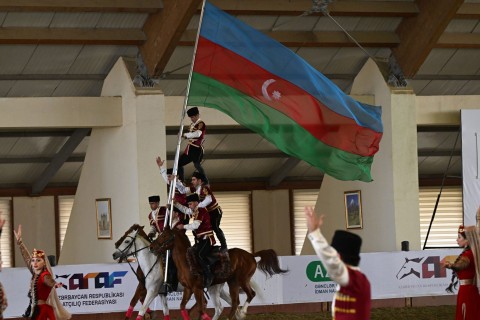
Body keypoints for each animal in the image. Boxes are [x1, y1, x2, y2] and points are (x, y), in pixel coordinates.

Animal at [152, 226, 286, 318]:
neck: (187, 261)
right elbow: (183, 307)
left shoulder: (197, 289)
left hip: (242, 280)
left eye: (164, 236)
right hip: (232, 282)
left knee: (250, 294)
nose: (152, 246)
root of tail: (250, 255)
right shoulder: (188, 289)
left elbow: (201, 309)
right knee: (235, 302)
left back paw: (242, 312)